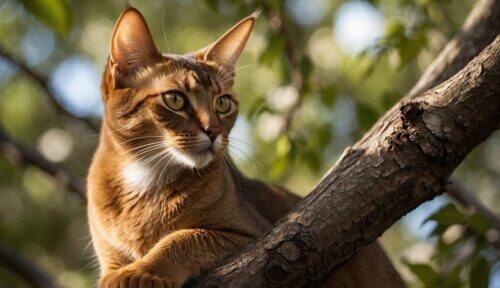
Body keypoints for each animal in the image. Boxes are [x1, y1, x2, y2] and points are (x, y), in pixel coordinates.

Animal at [87, 6, 406, 288]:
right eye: (175, 99)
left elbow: (183, 237)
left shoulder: (252, 235)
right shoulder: (109, 253)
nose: (214, 131)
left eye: (223, 103)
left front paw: (143, 271)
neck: (145, 180)